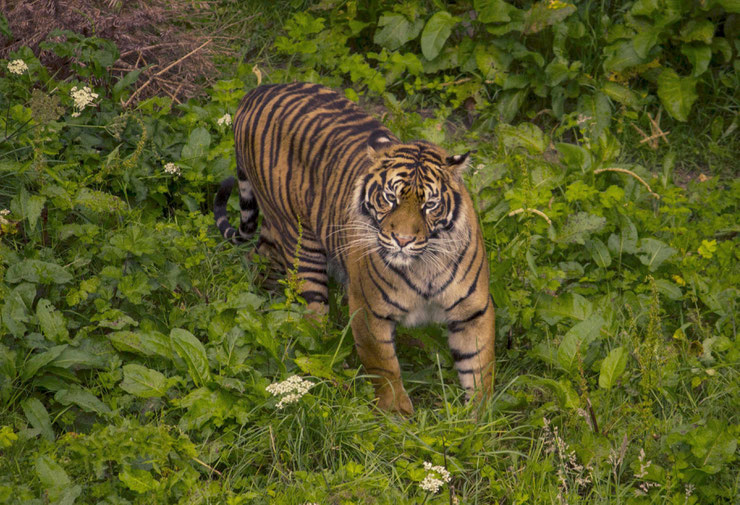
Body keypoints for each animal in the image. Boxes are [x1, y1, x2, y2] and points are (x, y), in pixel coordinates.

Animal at [212, 81, 492, 414]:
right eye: (390, 198)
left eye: (430, 205)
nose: (403, 240)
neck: (424, 265)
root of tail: (258, 90)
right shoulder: (369, 310)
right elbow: (385, 368)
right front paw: (398, 416)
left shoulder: (473, 311)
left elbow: (480, 369)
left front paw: (480, 419)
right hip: (301, 242)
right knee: (312, 318)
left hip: (274, 231)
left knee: (260, 259)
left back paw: (259, 304)